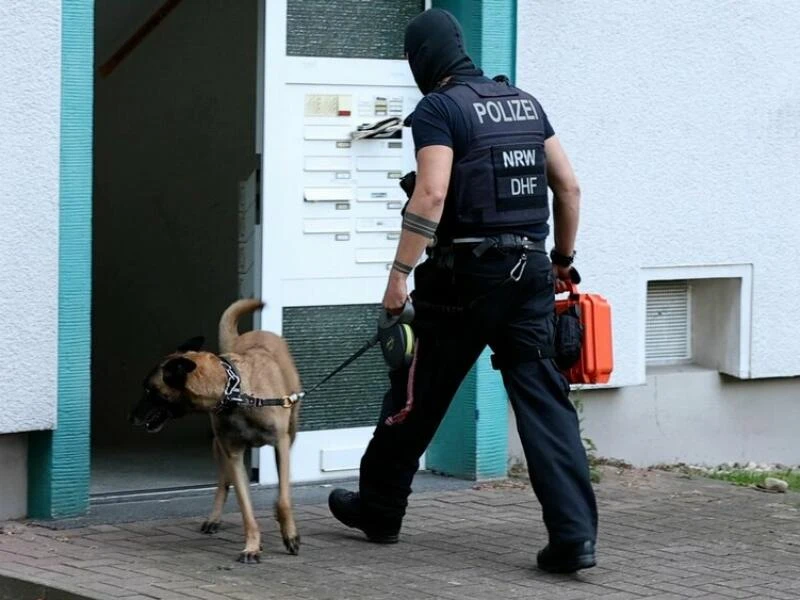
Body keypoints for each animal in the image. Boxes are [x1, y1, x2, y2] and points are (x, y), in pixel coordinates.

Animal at [131, 300, 300, 564]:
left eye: (149, 390)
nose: (131, 417)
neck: (235, 391)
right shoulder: (232, 452)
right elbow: (245, 508)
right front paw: (252, 546)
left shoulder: (281, 444)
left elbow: (283, 498)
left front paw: (289, 534)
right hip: (218, 446)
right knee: (224, 481)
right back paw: (214, 518)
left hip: (291, 431)